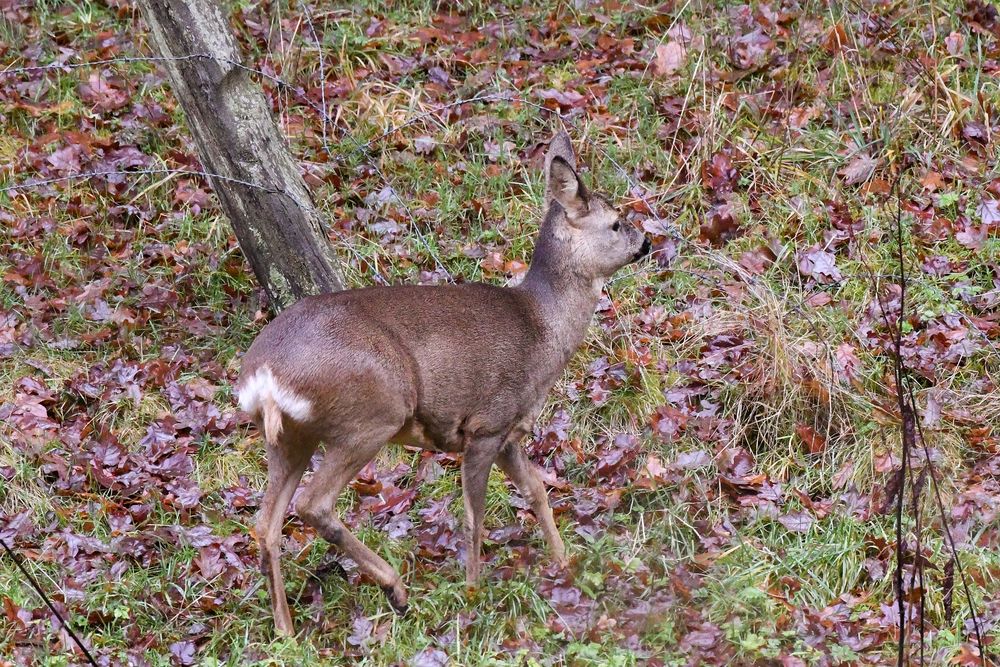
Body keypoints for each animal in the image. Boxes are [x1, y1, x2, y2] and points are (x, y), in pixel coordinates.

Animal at [236, 131, 651, 635]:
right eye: (616, 222)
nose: (647, 241)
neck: (541, 327)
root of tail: (262, 374)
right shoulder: (486, 423)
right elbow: (475, 517)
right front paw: (473, 595)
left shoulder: (510, 432)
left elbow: (536, 491)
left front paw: (564, 562)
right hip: (372, 413)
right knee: (312, 504)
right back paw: (395, 590)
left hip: (290, 437)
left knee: (267, 523)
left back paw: (285, 628)